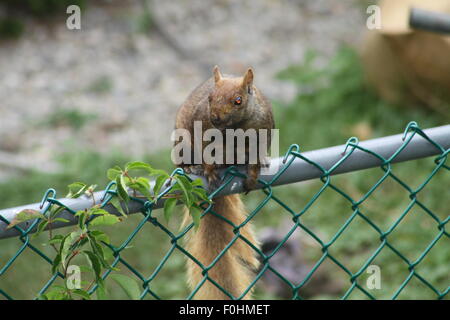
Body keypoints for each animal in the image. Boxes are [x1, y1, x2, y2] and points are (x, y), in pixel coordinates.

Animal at [175, 65, 274, 300]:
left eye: (238, 100)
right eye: (210, 98)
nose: (215, 118)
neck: (236, 128)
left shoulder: (263, 131)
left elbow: (255, 157)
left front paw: (253, 174)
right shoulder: (202, 129)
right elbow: (205, 153)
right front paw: (209, 172)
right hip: (181, 141)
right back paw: (191, 168)